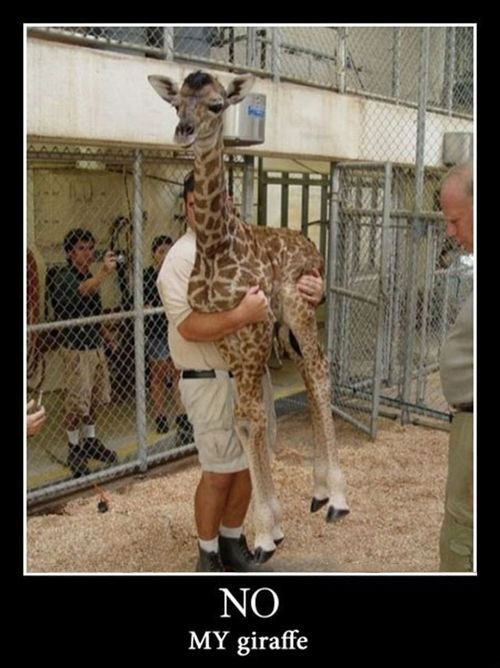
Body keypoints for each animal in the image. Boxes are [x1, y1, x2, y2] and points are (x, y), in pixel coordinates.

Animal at [148, 70, 349, 562]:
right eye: (175, 103)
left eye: (217, 105)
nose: (183, 131)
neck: (215, 248)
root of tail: (313, 246)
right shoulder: (229, 339)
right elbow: (243, 420)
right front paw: (269, 529)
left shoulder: (253, 329)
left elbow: (254, 416)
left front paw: (261, 535)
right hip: (285, 333)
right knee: (310, 375)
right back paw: (318, 492)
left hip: (298, 307)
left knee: (320, 371)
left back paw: (337, 498)